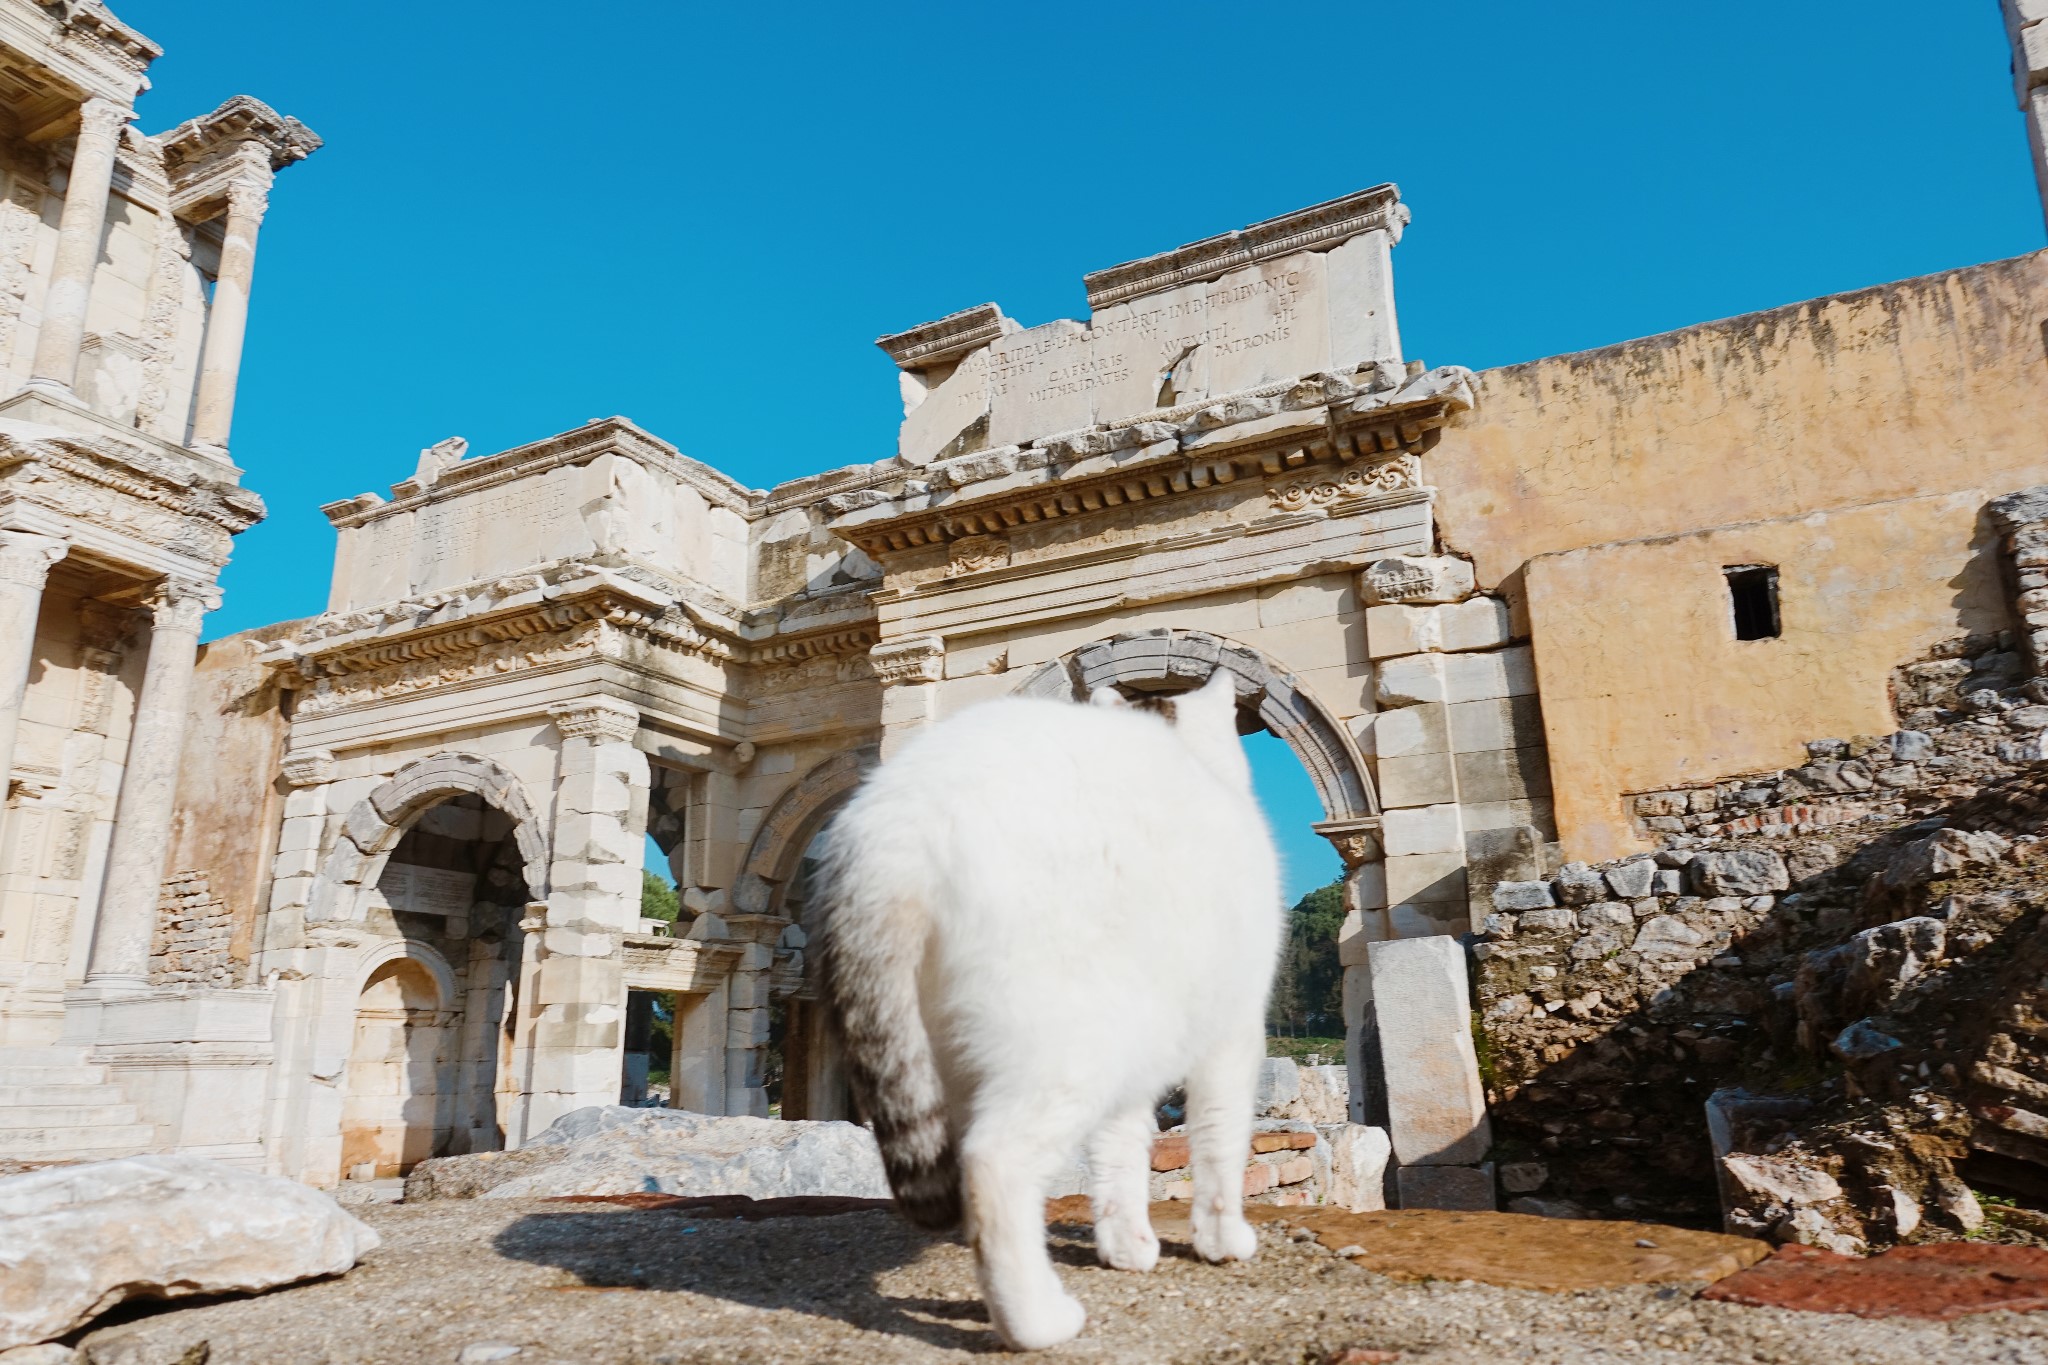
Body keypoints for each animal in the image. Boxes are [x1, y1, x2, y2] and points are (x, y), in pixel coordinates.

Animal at [811, 667, 1277, 1350]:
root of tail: (894, 826)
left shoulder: (1141, 1048)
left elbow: (1119, 1150)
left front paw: (1126, 1247)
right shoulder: (1231, 1032)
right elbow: (1220, 1140)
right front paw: (1222, 1241)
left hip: (955, 1050)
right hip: (1071, 1040)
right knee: (994, 1166)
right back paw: (1035, 1322)